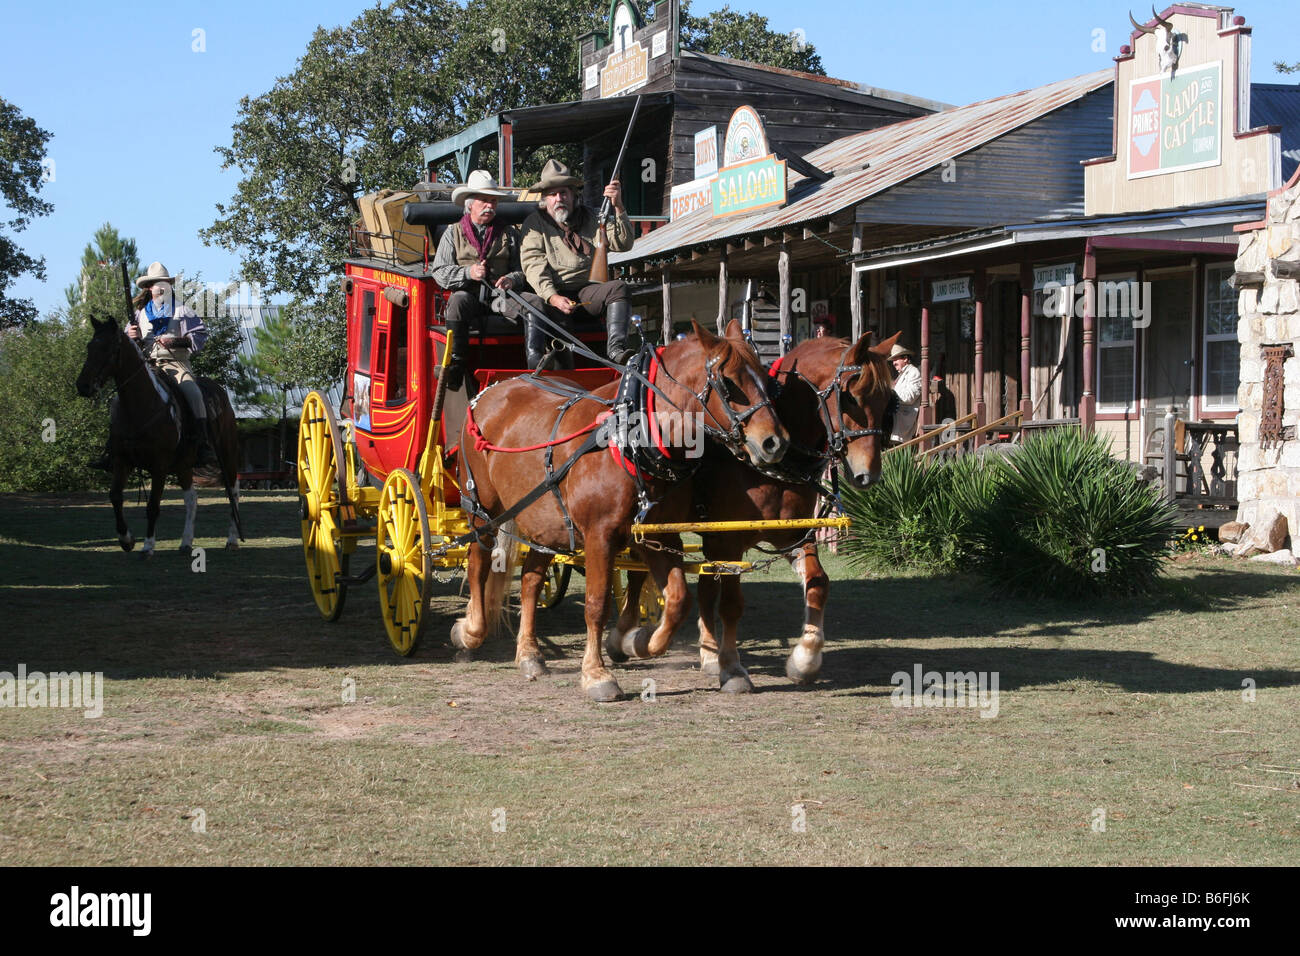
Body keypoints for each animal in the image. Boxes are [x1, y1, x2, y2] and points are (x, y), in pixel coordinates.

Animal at [74, 316, 244, 554]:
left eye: (109, 348)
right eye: (90, 347)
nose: (83, 386)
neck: (141, 406)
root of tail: (221, 394)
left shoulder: (159, 466)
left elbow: (153, 506)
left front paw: (147, 546)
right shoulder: (121, 461)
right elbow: (115, 496)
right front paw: (126, 539)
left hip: (227, 456)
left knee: (233, 491)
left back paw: (232, 539)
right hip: (184, 465)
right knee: (191, 498)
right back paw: (186, 542)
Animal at [452, 321, 785, 702]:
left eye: (766, 378)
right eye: (728, 383)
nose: (774, 442)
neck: (629, 438)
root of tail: (492, 391)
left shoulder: (656, 536)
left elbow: (678, 599)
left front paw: (638, 641)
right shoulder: (600, 536)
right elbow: (597, 604)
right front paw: (597, 674)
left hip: (545, 520)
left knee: (532, 580)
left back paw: (529, 654)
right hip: (482, 509)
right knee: (477, 562)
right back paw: (470, 631)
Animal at [605, 329, 894, 686]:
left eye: (888, 401)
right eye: (851, 397)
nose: (869, 474)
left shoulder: (792, 534)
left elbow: (818, 582)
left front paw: (805, 658)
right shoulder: (727, 540)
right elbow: (728, 601)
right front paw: (730, 666)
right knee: (638, 575)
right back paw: (624, 637)